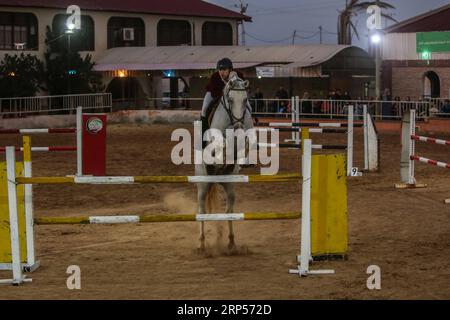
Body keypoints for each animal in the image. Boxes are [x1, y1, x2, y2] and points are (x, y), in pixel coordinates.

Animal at [196, 73, 255, 252]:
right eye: (230, 99)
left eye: (245, 100)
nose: (238, 126)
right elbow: (220, 144)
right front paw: (220, 157)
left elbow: (243, 142)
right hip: (202, 184)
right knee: (201, 209)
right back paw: (201, 243)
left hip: (229, 186)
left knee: (229, 210)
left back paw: (231, 242)